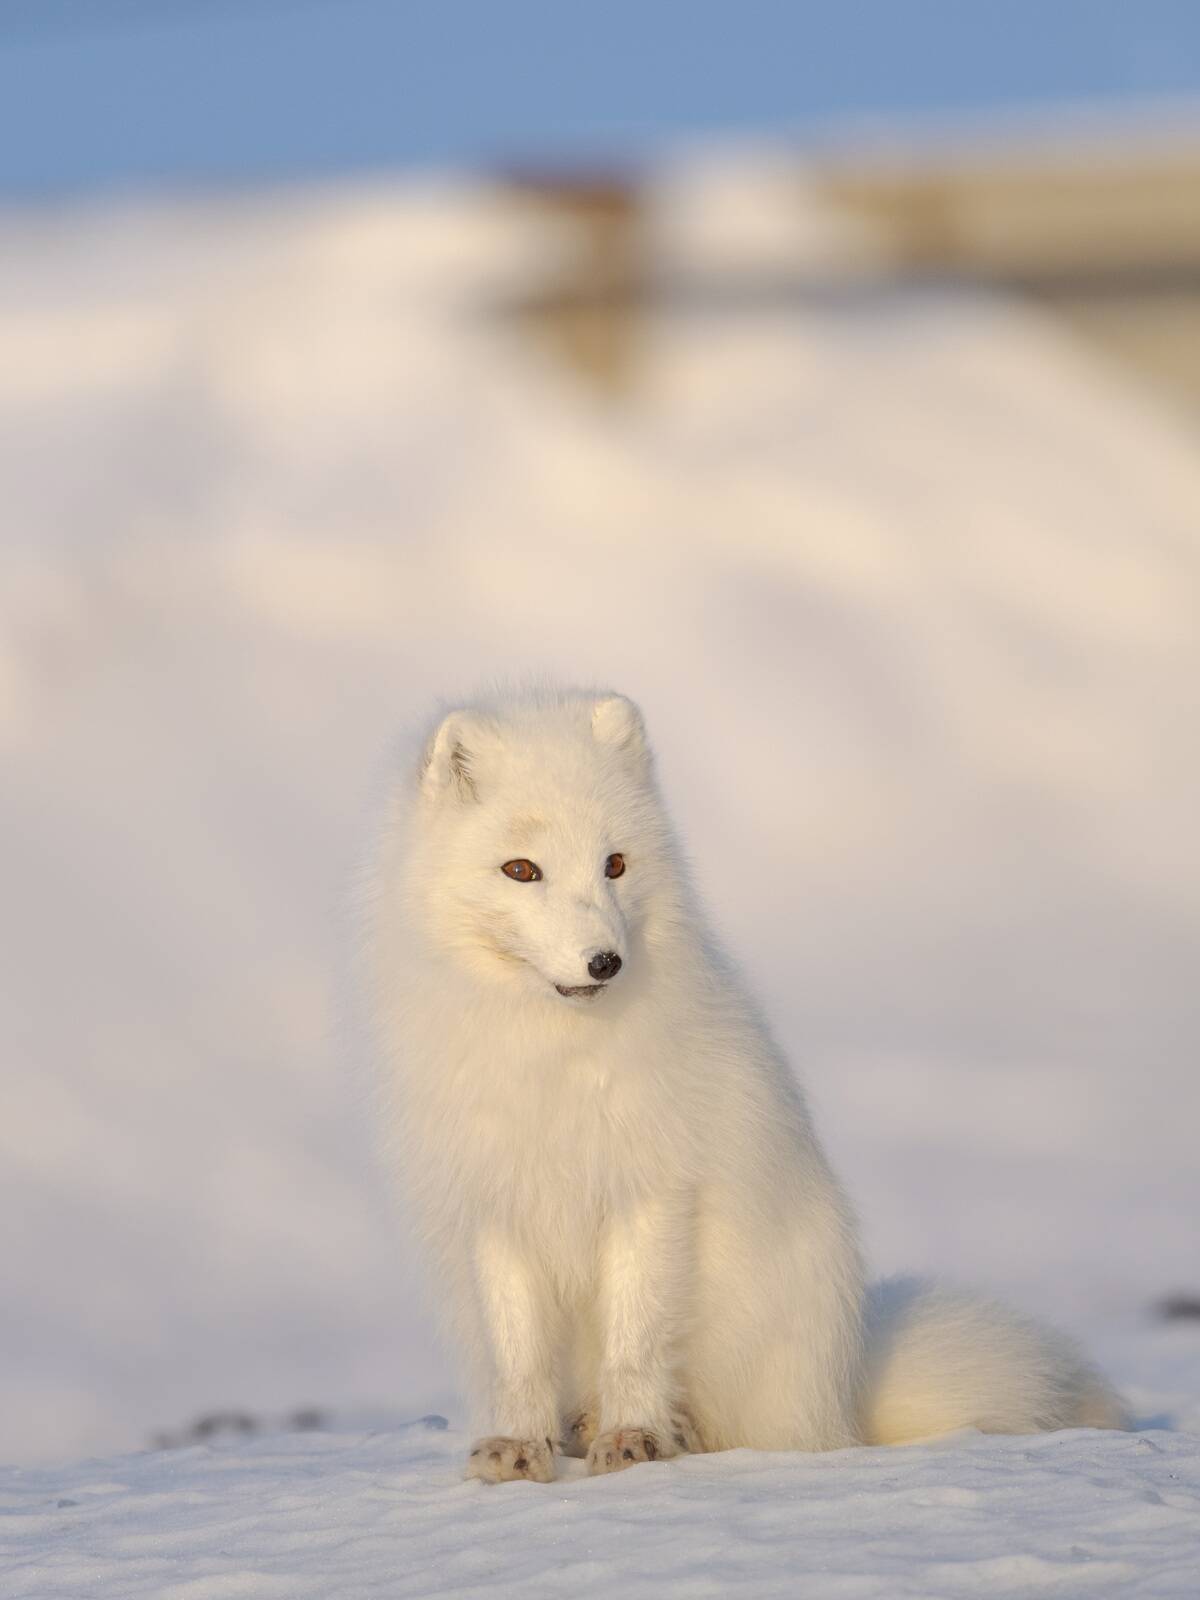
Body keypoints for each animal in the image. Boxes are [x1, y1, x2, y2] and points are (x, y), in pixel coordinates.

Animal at [365, 686, 1125, 1483]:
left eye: (615, 864)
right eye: (521, 870)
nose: (606, 961)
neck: (551, 1055)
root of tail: (844, 1395)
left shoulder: (651, 1190)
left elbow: (636, 1337)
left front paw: (632, 1438)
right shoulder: (495, 1204)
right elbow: (519, 1353)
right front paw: (517, 1447)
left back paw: (662, 1432)